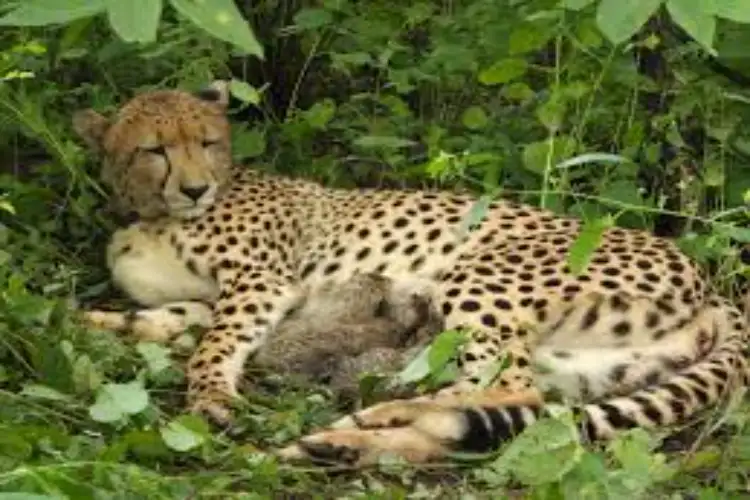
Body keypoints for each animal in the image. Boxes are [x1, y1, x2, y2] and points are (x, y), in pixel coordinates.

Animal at [72, 80, 749, 468]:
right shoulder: (214, 299)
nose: (195, 187)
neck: (151, 213)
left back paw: (369, 420)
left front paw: (210, 397)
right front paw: (88, 322)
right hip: (588, 364)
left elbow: (211, 347)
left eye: (207, 142)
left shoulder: (261, 283)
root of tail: (711, 282)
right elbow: (159, 320)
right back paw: (345, 441)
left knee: (508, 388)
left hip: (481, 275)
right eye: (154, 149)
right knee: (516, 406)